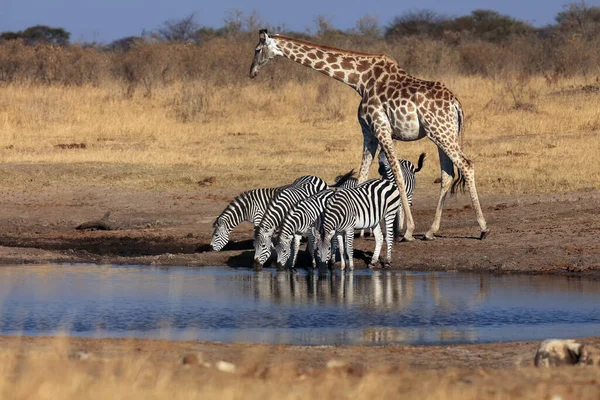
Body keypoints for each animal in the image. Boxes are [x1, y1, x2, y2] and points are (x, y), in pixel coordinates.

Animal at [248, 29, 488, 241]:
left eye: (257, 49)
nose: (251, 72)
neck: (359, 79)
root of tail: (456, 104)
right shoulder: (368, 132)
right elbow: (362, 176)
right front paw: (362, 228)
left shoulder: (381, 128)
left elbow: (398, 176)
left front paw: (407, 230)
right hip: (441, 134)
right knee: (447, 175)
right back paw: (430, 231)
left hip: (441, 132)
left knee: (467, 165)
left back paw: (483, 228)